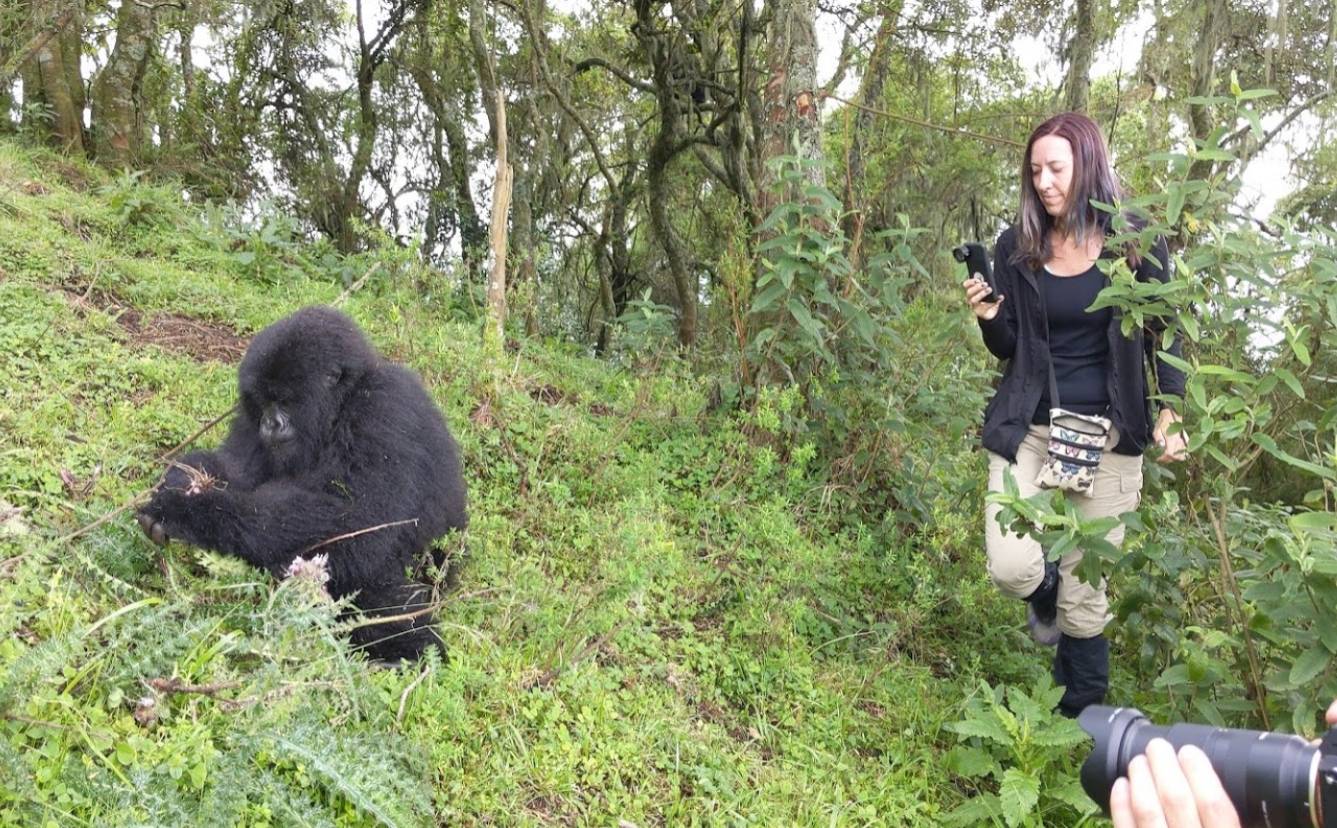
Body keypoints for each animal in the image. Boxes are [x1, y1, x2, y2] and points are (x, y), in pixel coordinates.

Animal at [138, 307, 467, 663]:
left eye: (284, 400)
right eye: (263, 401)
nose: (270, 423)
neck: (343, 402)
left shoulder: (384, 408)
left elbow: (359, 525)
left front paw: (187, 511)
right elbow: (237, 470)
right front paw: (182, 478)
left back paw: (407, 652)